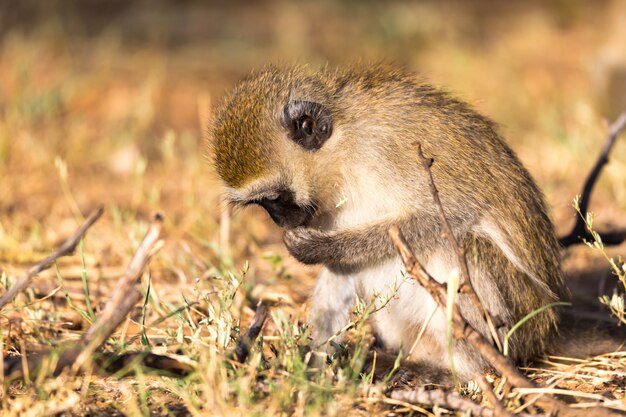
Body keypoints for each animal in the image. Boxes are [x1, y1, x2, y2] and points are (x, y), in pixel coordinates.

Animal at [211, 64, 564, 380]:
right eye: (262, 203)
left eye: (276, 197)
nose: (281, 221)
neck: (343, 150)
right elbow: (340, 270)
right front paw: (312, 364)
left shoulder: (388, 149)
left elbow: (451, 213)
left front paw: (321, 246)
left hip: (513, 326)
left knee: (457, 246)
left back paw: (470, 373)